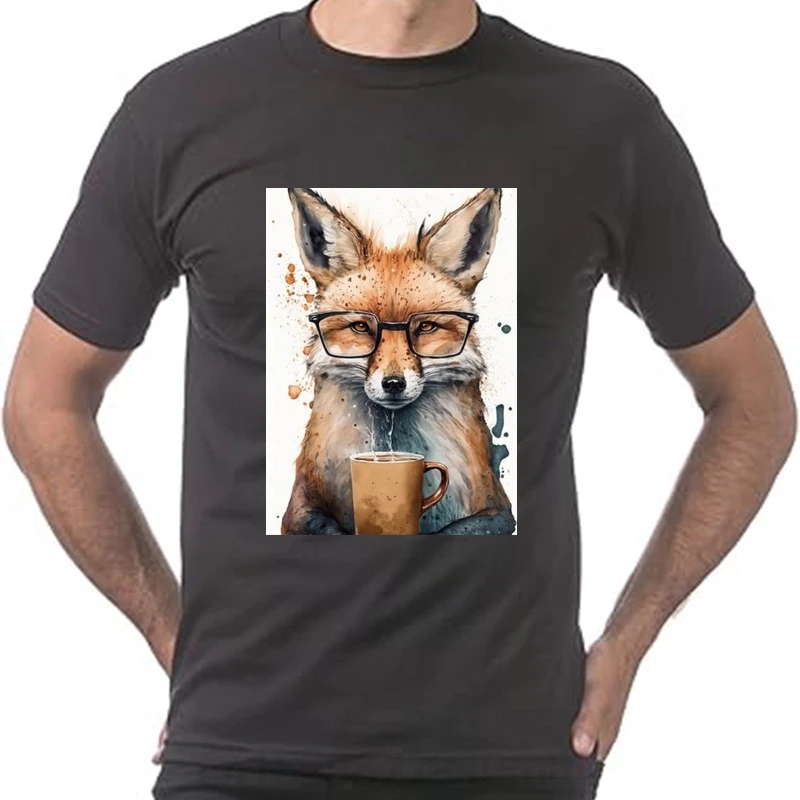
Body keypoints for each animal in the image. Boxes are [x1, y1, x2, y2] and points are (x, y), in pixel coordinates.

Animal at [280, 187, 516, 535]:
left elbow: (455, 530)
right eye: (361, 327)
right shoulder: (300, 506)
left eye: (426, 327)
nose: (393, 384)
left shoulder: (496, 508)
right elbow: (328, 528)